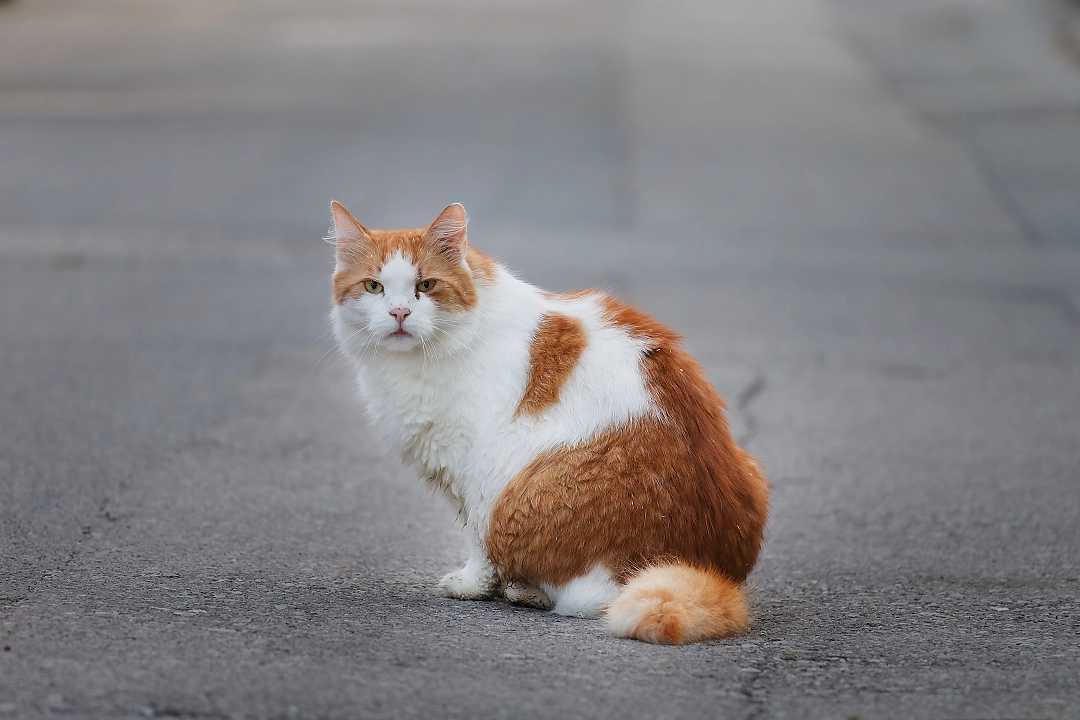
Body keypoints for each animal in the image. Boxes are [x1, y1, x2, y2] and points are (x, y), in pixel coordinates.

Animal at [328, 199, 768, 643]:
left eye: (427, 285)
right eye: (374, 287)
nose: (399, 312)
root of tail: (699, 563)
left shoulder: (472, 468)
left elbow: (476, 542)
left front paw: (472, 586)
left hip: (509, 485)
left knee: (585, 599)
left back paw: (527, 591)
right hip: (753, 469)